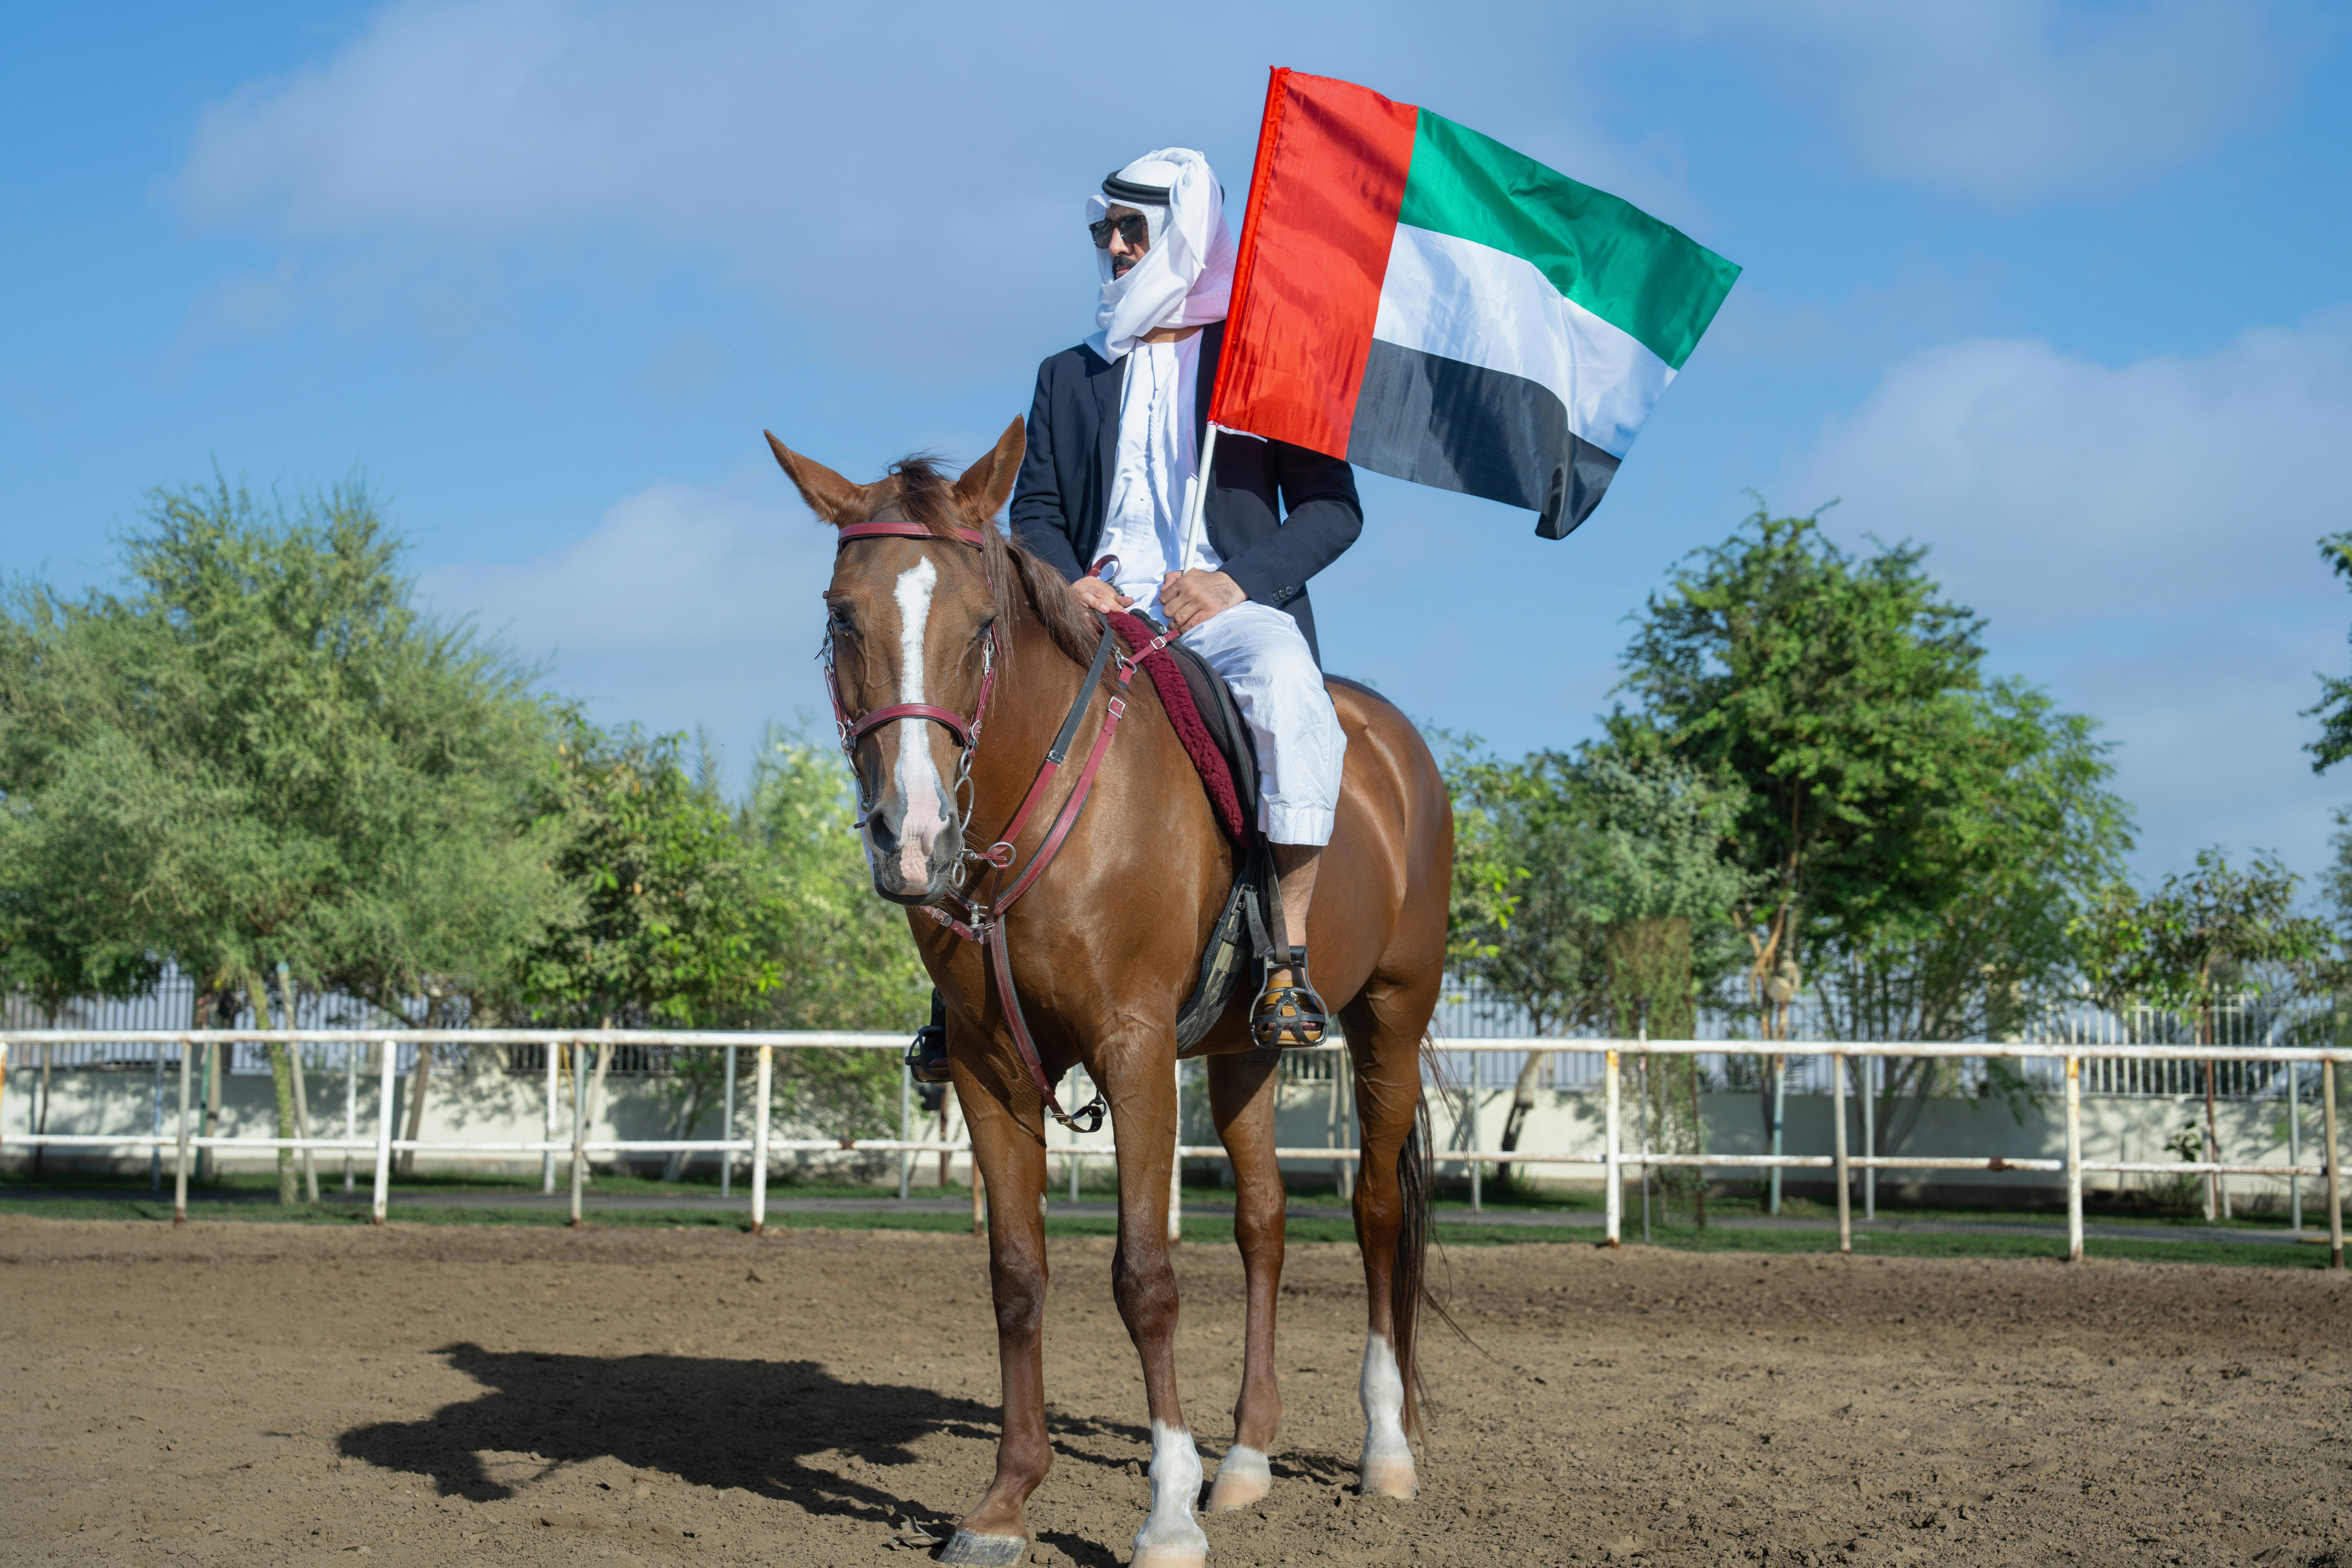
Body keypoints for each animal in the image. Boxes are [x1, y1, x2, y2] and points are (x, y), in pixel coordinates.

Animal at [767, 419, 1453, 1568]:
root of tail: (1396, 743)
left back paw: (1385, 1451)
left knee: (1374, 1215)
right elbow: (1016, 1277)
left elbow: (1145, 1276)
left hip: (1391, 1018)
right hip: (1244, 1052)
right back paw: (1248, 1461)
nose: (914, 840)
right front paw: (1005, 1505)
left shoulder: (1133, 1051)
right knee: (1264, 1224)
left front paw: (1168, 1514)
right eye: (841, 615)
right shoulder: (989, 1068)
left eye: (982, 625)